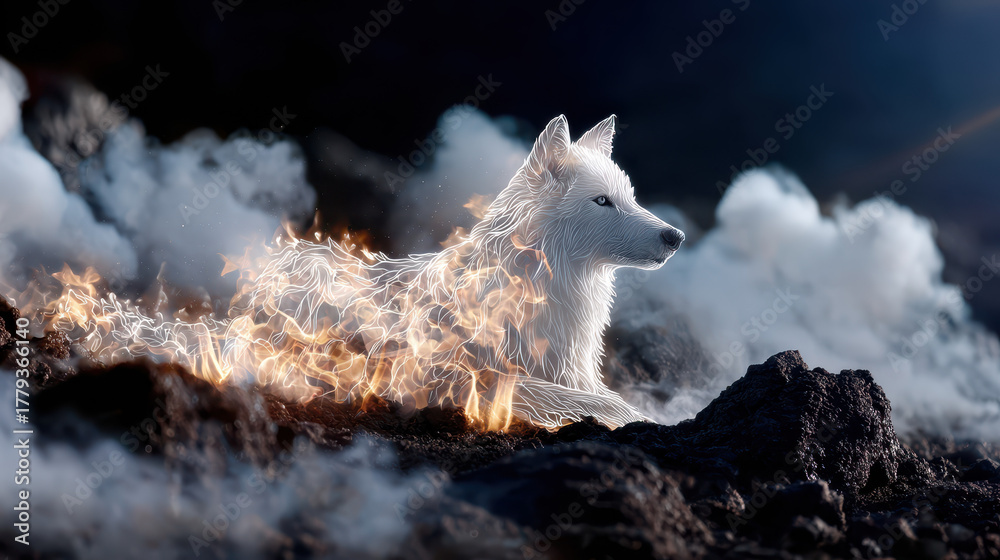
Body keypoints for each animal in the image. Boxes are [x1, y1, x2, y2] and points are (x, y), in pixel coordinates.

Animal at [41, 115, 684, 430]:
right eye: (602, 202)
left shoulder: (565, 372)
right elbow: (604, 405)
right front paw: (643, 416)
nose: (674, 237)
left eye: (630, 195)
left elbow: (601, 397)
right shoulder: (473, 377)